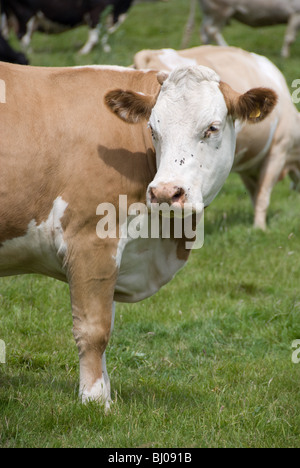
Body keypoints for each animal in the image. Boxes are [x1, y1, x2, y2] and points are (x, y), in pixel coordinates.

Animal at [0, 0, 135, 54]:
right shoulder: (97, 11)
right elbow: (95, 35)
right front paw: (83, 52)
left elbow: (103, 35)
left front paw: (106, 50)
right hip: (25, 13)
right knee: (23, 36)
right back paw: (31, 53)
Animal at [0, 61, 276, 406]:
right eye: (154, 130)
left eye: (211, 128)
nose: (165, 192)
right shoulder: (91, 241)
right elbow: (94, 329)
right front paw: (94, 401)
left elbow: (108, 321)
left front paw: (106, 395)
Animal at [134, 46, 300, 230]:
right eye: (152, 130)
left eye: (212, 128)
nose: (164, 193)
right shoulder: (279, 149)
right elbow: (263, 195)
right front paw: (260, 228)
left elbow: (255, 194)